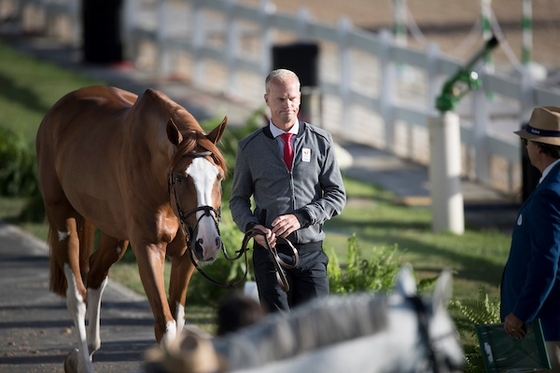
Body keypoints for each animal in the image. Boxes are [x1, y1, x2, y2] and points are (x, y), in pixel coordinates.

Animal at [36, 85, 228, 372]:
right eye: (180, 177)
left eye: (218, 177)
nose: (209, 241)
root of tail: (58, 109)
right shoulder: (148, 249)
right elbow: (166, 325)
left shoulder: (185, 255)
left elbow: (179, 320)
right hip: (62, 217)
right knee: (77, 296)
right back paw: (84, 360)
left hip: (114, 235)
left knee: (96, 274)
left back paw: (83, 352)